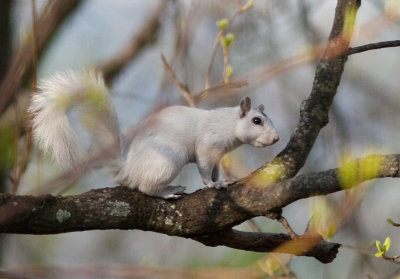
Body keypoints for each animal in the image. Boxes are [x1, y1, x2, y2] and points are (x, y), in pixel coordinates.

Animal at [28, 71, 278, 200]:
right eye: (256, 120)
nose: (276, 139)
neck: (228, 123)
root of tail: (127, 171)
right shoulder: (207, 145)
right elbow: (205, 169)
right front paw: (213, 185)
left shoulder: (218, 154)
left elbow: (215, 168)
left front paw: (222, 179)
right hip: (170, 158)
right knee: (145, 188)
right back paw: (168, 192)